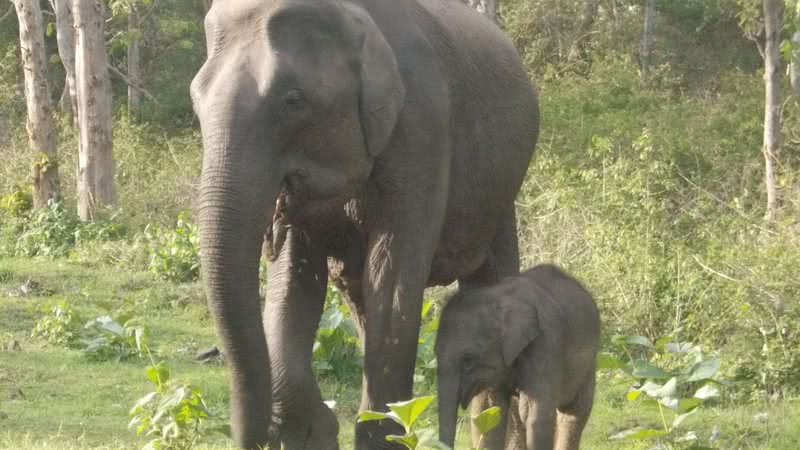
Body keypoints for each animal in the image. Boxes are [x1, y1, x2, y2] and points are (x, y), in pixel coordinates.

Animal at [189, 0, 536, 448]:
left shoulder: (423, 130)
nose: (261, 436)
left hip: (501, 194)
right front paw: (311, 431)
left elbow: (392, 281)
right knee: (357, 295)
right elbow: (294, 282)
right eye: (196, 102)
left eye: (293, 100)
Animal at [434, 264, 596, 450]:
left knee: (574, 410)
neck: (495, 296)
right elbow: (491, 411)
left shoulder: (547, 342)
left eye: (468, 360)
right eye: (435, 353)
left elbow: (535, 415)